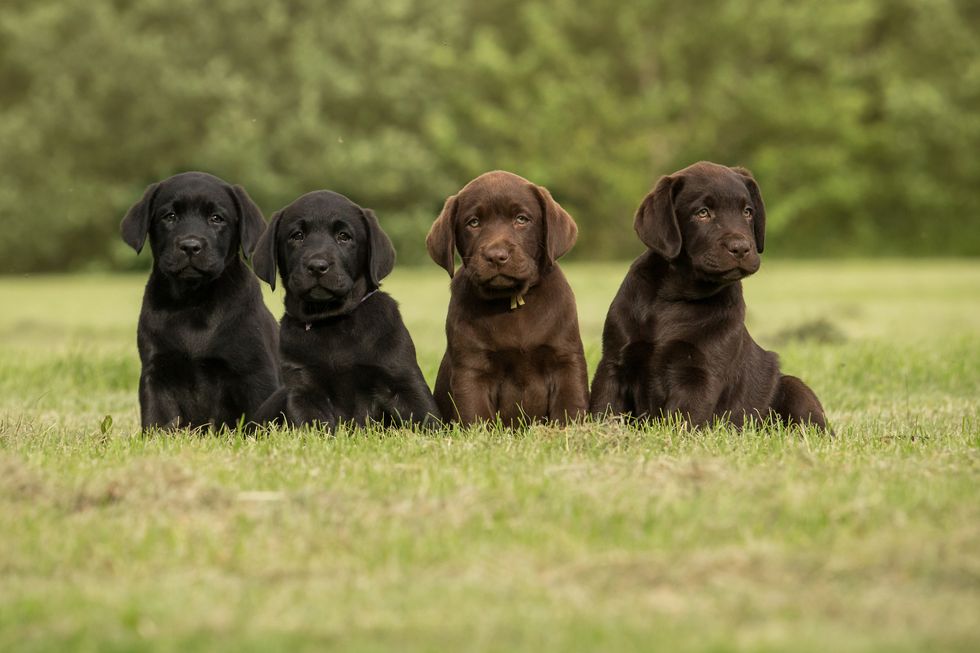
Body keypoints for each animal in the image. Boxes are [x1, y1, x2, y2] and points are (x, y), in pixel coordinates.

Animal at [120, 171, 280, 430]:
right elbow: (157, 419)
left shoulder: (256, 372)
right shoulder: (156, 373)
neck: (193, 301)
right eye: (170, 216)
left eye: (216, 218)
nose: (190, 246)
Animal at [251, 190, 438, 428]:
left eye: (344, 236)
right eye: (297, 236)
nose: (317, 266)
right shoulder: (303, 390)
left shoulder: (403, 381)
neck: (331, 320)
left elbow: (428, 420)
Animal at [588, 162, 828, 428]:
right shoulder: (613, 364)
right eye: (702, 213)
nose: (741, 248)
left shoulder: (700, 375)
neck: (676, 297)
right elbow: (604, 409)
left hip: (794, 388)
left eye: (748, 212)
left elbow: (681, 421)